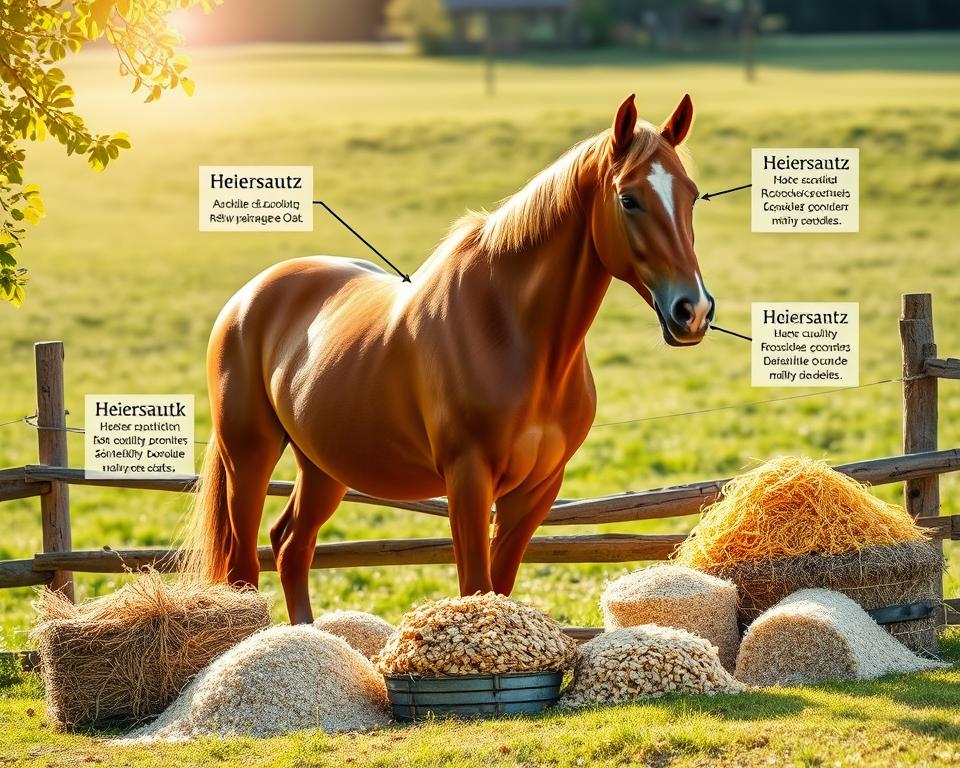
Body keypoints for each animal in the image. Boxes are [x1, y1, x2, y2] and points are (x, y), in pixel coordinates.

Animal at [186, 93, 715, 624]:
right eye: (629, 199)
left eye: (691, 196)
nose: (693, 311)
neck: (513, 332)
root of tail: (248, 297)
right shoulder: (468, 480)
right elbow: (475, 586)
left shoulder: (536, 490)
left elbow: (499, 587)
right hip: (249, 456)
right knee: (245, 564)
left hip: (323, 465)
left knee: (291, 546)